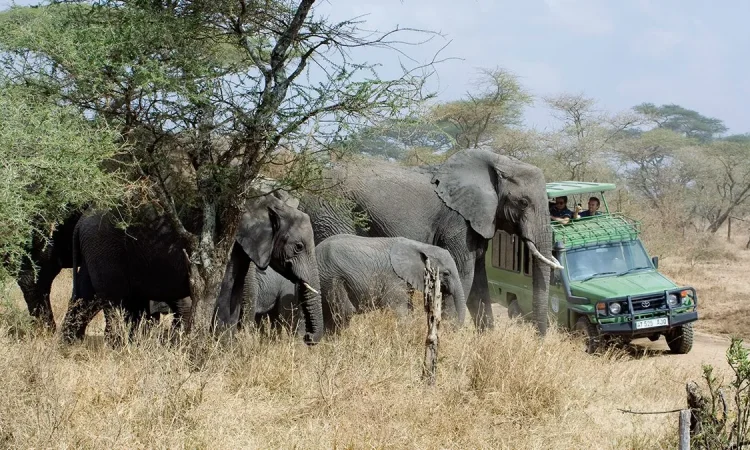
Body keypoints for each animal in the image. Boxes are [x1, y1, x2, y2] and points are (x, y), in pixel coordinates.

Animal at [61, 193, 324, 344]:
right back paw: (118, 348)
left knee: (85, 296)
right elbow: (224, 293)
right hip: (105, 247)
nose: (308, 338)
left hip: (97, 249)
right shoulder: (222, 244)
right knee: (114, 299)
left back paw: (70, 347)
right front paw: (221, 352)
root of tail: (81, 221)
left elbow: (235, 294)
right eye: (298, 247)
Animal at [314, 234, 467, 332]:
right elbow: (399, 309)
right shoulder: (393, 277)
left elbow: (409, 307)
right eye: (446, 273)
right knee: (343, 313)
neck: (420, 246)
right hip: (331, 278)